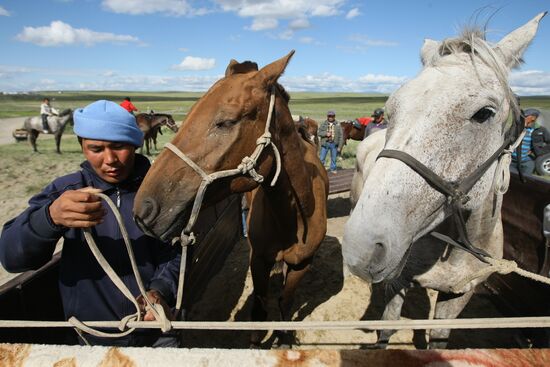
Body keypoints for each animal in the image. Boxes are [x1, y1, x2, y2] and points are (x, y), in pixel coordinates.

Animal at [134, 51, 330, 348]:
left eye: (226, 121)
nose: (144, 209)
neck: (294, 217)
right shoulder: (258, 259)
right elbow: (260, 308)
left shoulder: (301, 265)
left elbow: (285, 303)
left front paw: (284, 338)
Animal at [344, 12, 548, 350]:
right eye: (391, 109)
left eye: (484, 113)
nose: (362, 246)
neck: (460, 245)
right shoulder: (398, 282)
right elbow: (386, 330)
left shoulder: (459, 295)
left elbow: (438, 340)